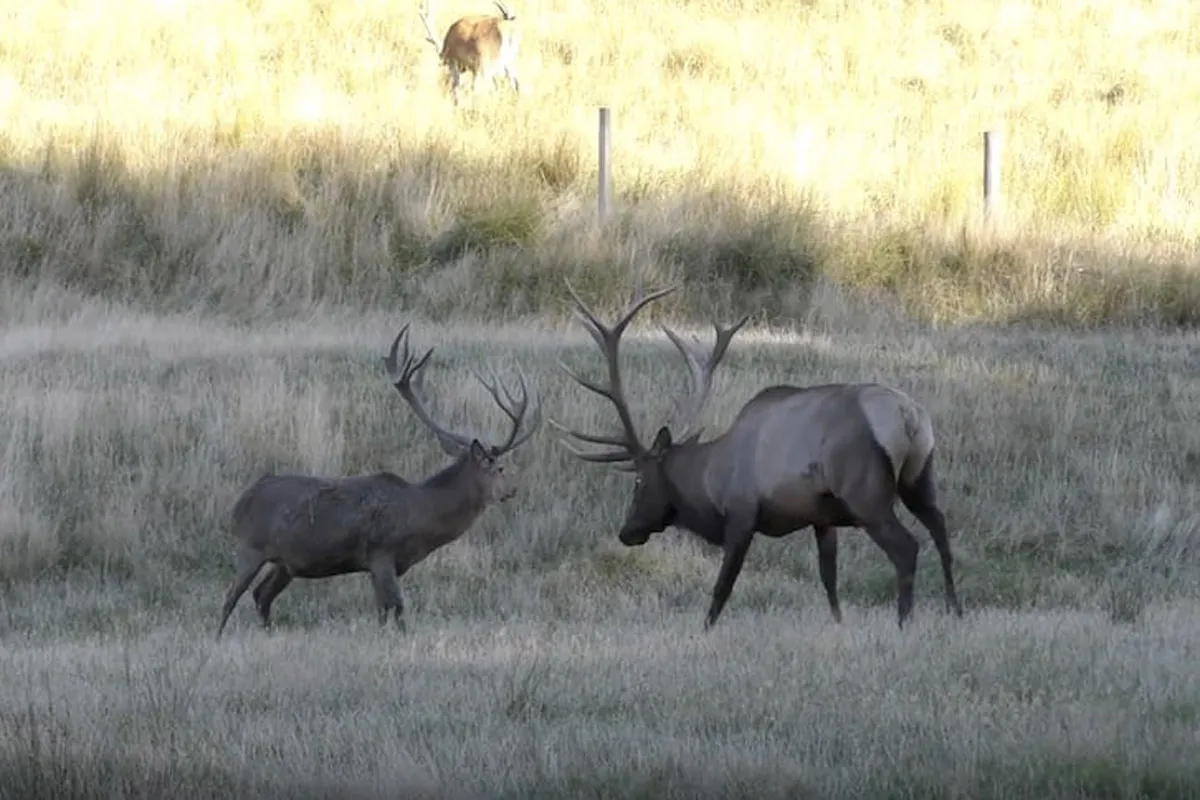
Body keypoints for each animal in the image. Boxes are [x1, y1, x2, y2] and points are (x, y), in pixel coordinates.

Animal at [213, 321, 542, 642]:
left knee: (261, 595)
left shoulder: (376, 564)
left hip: (285, 563)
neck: (421, 513)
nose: (513, 489)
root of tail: (239, 505)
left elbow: (383, 611)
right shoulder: (382, 552)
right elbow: (397, 607)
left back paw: (267, 633)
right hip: (251, 546)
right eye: (499, 467)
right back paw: (217, 637)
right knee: (230, 597)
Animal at [554, 283, 964, 633]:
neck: (710, 480)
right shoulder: (821, 517)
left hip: (866, 493)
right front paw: (838, 624)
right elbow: (828, 578)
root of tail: (908, 416)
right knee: (941, 530)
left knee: (907, 547)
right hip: (920, 475)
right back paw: (954, 609)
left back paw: (905, 621)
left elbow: (722, 587)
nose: (626, 532)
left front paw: (705, 631)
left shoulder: (742, 513)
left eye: (639, 480)